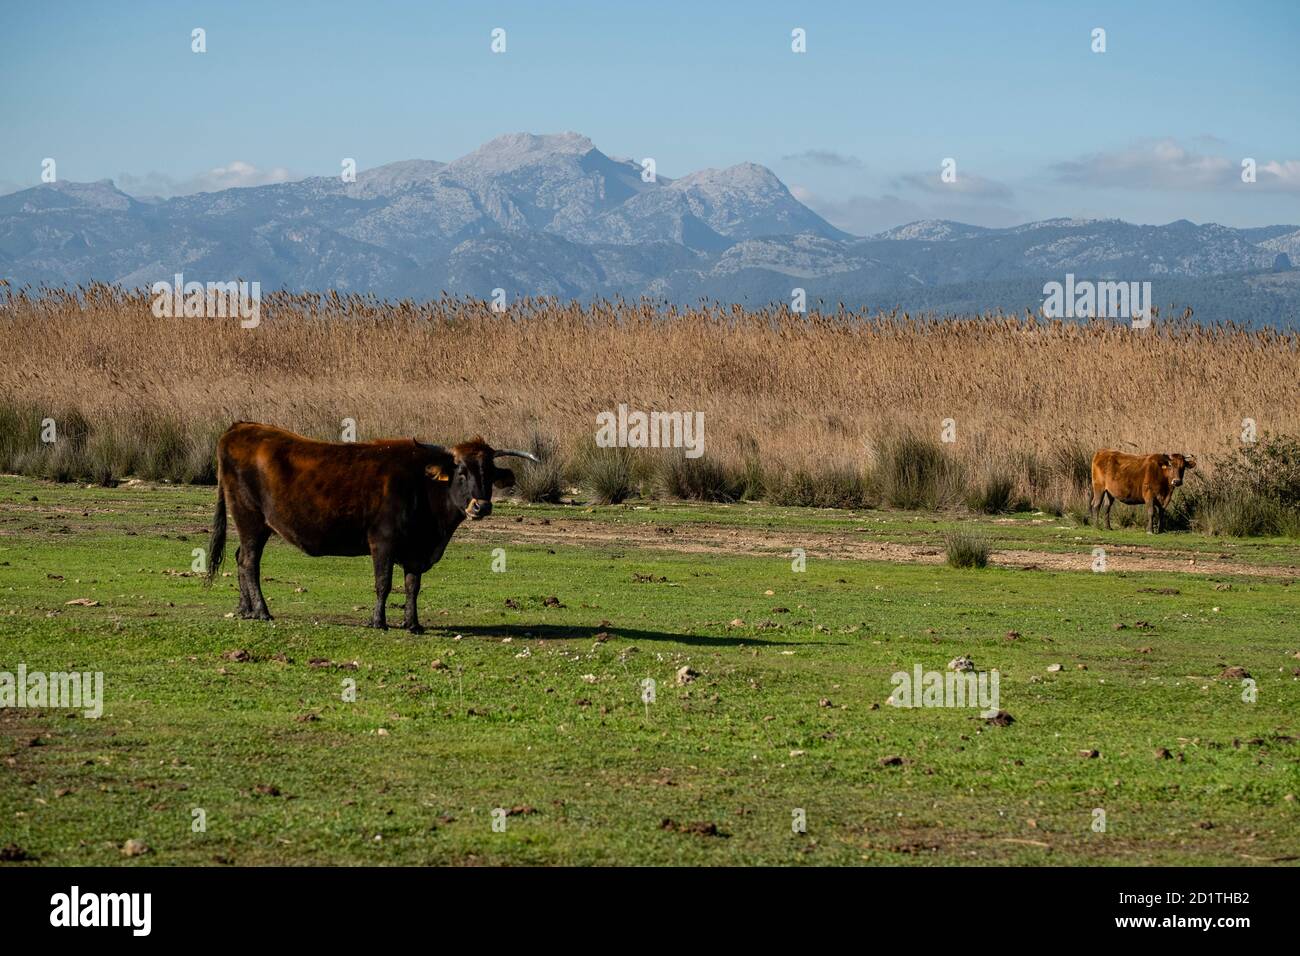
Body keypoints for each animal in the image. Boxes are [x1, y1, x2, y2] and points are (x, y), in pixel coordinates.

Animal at [206, 421, 538, 632]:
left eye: (489, 473)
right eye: (461, 472)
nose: (481, 506)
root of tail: (241, 427)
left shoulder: (416, 550)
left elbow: (412, 585)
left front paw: (413, 623)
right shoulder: (383, 541)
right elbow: (384, 583)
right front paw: (379, 621)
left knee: (240, 558)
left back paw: (245, 609)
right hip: (250, 518)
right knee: (249, 562)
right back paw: (262, 611)